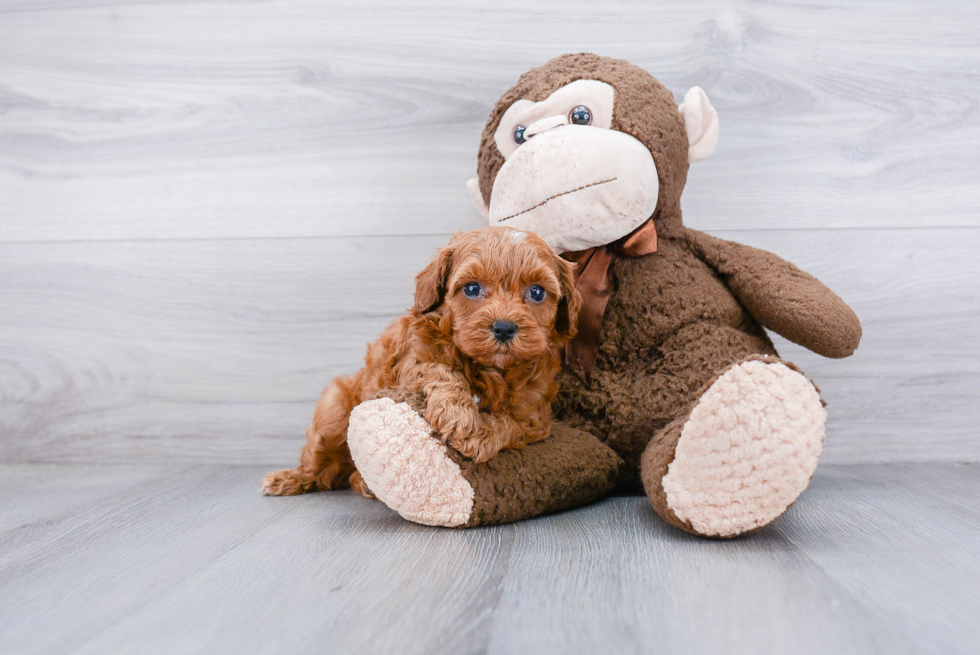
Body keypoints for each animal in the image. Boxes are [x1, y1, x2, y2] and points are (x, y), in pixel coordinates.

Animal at [262, 226, 580, 498]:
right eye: (472, 288)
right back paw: (289, 478)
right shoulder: (410, 357)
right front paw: (459, 415)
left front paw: (481, 434)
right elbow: (438, 369)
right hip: (333, 410)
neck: (490, 368)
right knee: (319, 464)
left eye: (537, 292)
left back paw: (364, 483)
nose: (503, 327)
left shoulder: (534, 414)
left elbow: (510, 422)